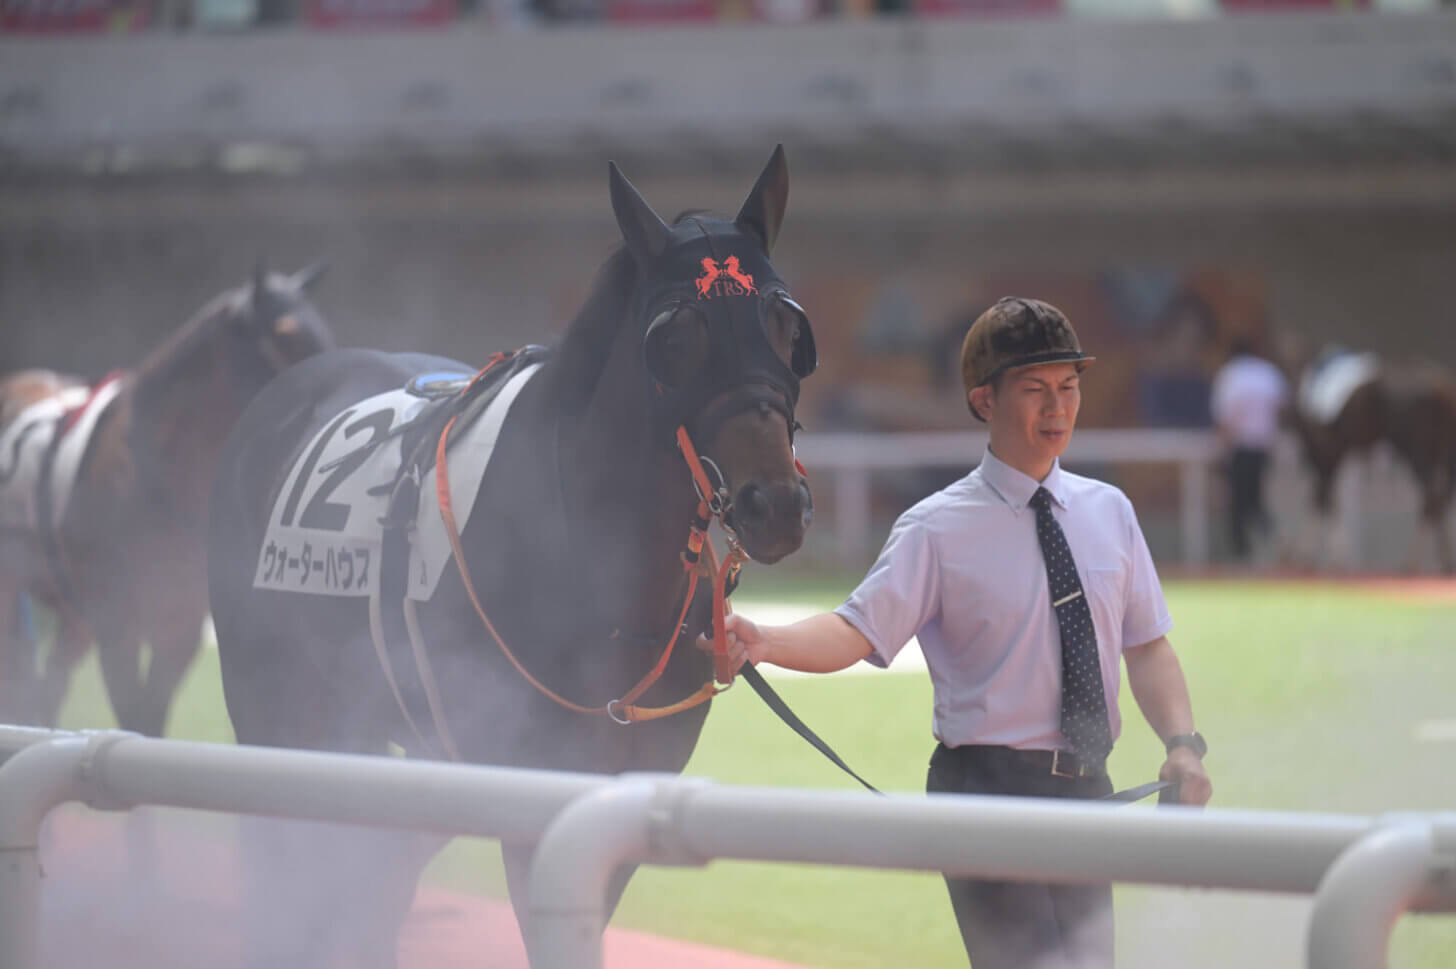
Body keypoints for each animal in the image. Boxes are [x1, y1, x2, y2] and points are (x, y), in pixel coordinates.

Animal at [0, 264, 333, 733]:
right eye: (285, 333)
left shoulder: (179, 628)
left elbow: (149, 717)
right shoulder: (118, 626)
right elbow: (135, 716)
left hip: (73, 616)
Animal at [1287, 344, 1456, 570]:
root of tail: (1441, 386)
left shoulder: (1323, 449)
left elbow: (1323, 496)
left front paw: (1313, 554)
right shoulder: (1332, 452)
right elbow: (1324, 496)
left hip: (1415, 449)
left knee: (1431, 497)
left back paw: (1412, 561)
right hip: (1441, 451)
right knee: (1440, 498)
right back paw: (1440, 558)